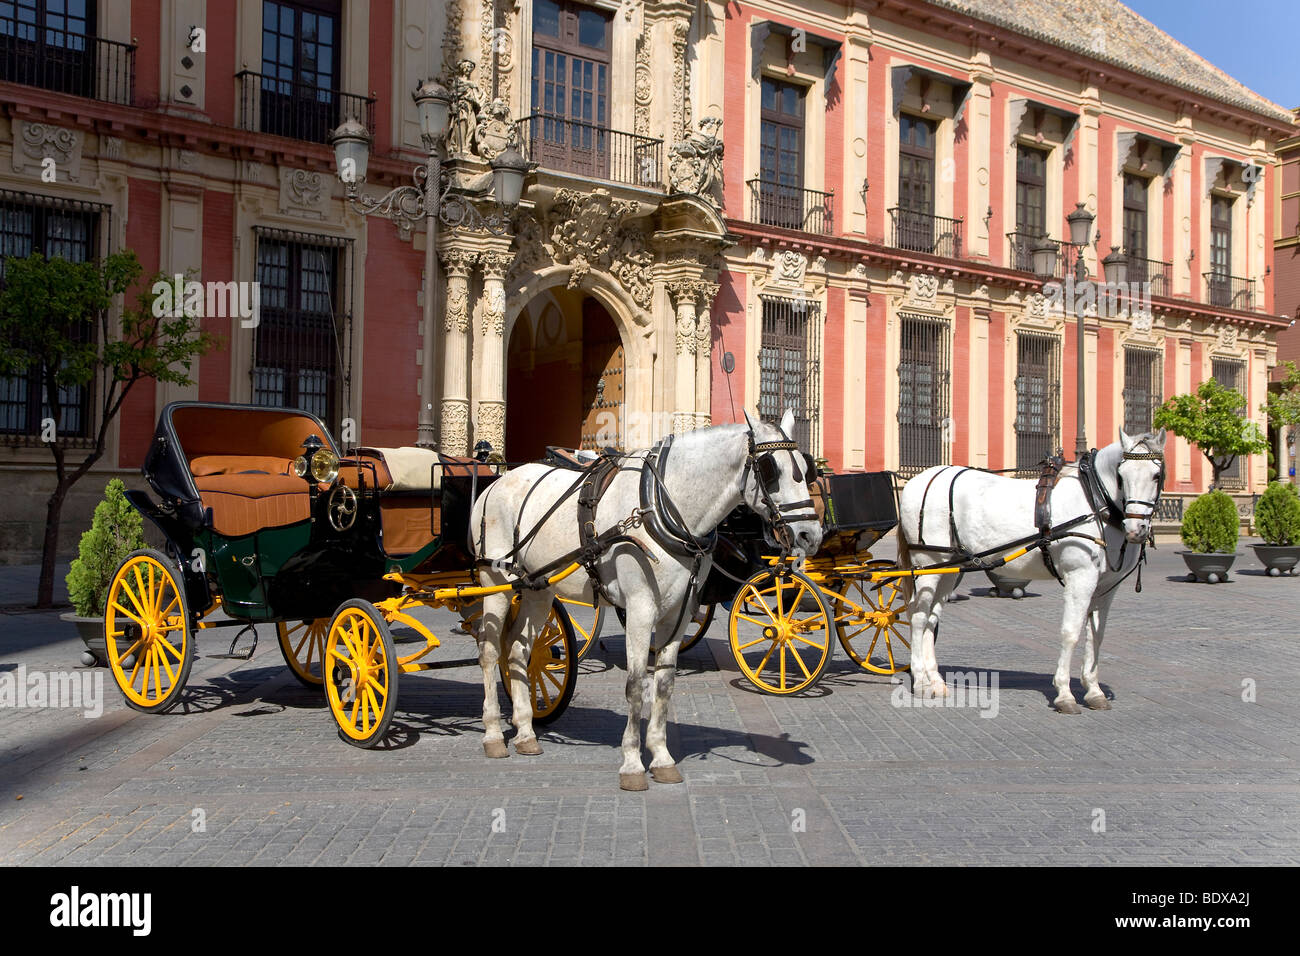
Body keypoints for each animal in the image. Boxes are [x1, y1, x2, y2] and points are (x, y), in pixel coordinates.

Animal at [470, 411, 821, 790]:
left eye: (806, 468)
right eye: (771, 470)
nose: (811, 535)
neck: (660, 505)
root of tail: (496, 483)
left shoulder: (679, 612)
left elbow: (664, 684)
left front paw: (662, 757)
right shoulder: (640, 609)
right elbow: (637, 684)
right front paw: (633, 764)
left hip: (538, 588)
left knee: (518, 650)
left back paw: (525, 731)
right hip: (496, 581)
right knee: (490, 649)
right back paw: (493, 733)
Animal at [894, 429, 1170, 712]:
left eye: (1156, 475)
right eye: (1121, 475)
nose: (1136, 529)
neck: (1094, 501)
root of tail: (920, 480)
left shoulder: (1105, 587)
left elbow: (1096, 636)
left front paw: (1093, 691)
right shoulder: (1079, 578)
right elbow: (1070, 633)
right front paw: (1064, 694)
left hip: (949, 569)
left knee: (931, 617)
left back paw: (935, 680)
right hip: (928, 564)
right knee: (918, 616)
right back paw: (921, 681)